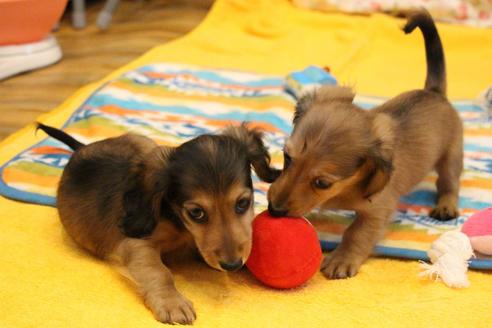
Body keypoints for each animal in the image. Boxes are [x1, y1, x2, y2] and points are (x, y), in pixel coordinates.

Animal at [37, 123, 278, 326]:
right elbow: (159, 272)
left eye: (243, 203)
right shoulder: (136, 244)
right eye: (197, 213)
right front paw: (172, 302)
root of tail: (82, 148)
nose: (232, 265)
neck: (176, 218)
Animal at [268, 10, 464, 280]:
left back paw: (446, 205)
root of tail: (434, 91)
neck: (346, 190)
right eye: (287, 158)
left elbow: (357, 233)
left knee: (449, 183)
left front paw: (342, 259)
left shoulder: (377, 210)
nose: (274, 210)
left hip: (451, 156)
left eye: (322, 183)